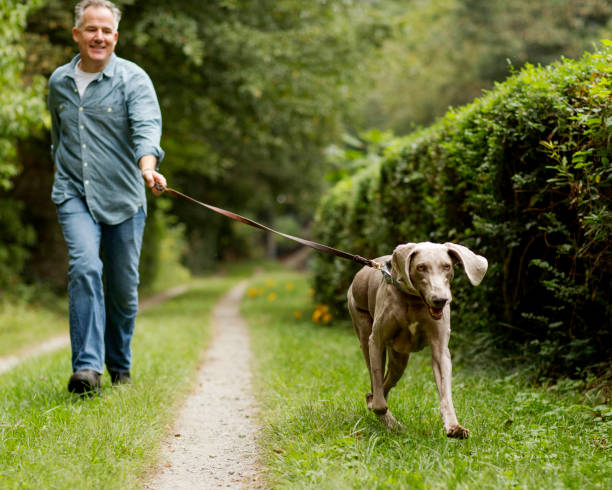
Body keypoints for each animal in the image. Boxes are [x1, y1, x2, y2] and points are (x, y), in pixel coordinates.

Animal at [350, 241, 488, 436]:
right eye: (421, 267)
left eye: (447, 266)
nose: (440, 299)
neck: (414, 301)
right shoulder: (376, 342)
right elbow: (379, 400)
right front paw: (390, 421)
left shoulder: (440, 349)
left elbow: (445, 393)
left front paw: (454, 426)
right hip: (363, 329)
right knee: (375, 386)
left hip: (399, 360)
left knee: (384, 385)